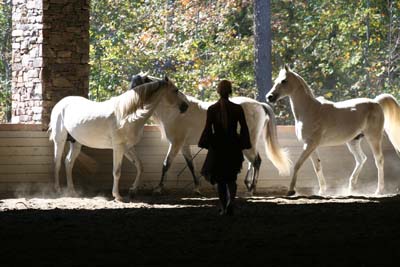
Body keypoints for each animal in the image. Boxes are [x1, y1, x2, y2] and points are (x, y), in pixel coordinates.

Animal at [48, 77, 189, 201]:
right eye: (175, 90)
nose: (185, 106)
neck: (128, 116)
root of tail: (61, 103)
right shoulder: (118, 148)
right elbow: (117, 171)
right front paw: (117, 196)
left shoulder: (128, 148)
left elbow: (140, 166)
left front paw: (132, 191)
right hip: (60, 140)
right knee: (57, 162)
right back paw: (58, 190)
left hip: (76, 142)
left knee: (68, 162)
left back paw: (72, 191)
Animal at [152, 92, 292, 195]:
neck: (176, 111)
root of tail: (259, 105)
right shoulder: (184, 145)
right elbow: (191, 165)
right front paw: (197, 188)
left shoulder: (176, 143)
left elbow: (166, 164)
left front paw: (158, 188)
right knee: (252, 161)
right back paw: (248, 185)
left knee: (256, 161)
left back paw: (251, 189)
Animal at [266, 65, 400, 196]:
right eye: (276, 80)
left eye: (284, 81)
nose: (269, 97)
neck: (309, 110)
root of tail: (376, 102)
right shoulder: (310, 145)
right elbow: (317, 166)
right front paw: (322, 191)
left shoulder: (309, 144)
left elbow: (298, 164)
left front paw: (291, 191)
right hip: (353, 141)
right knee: (361, 159)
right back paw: (351, 188)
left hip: (374, 137)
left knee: (379, 160)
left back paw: (378, 191)